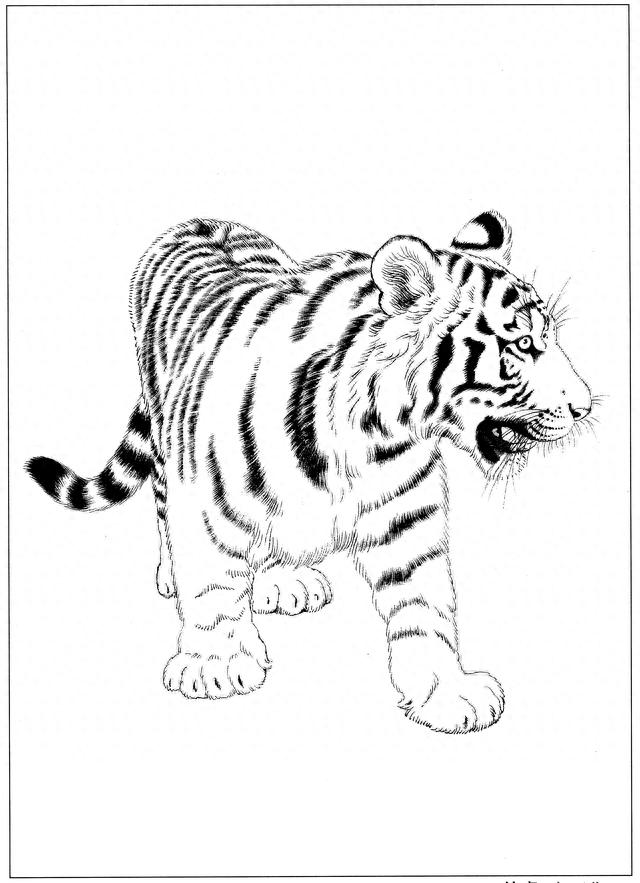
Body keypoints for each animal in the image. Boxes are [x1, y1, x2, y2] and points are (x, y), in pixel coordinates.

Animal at [26, 210, 592, 733]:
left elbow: (424, 607)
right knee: (166, 512)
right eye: (522, 346)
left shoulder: (407, 521)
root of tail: (203, 219)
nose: (584, 407)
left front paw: (446, 693)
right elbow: (212, 589)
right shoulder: (205, 503)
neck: (374, 434)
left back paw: (284, 581)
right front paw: (215, 666)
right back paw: (175, 577)